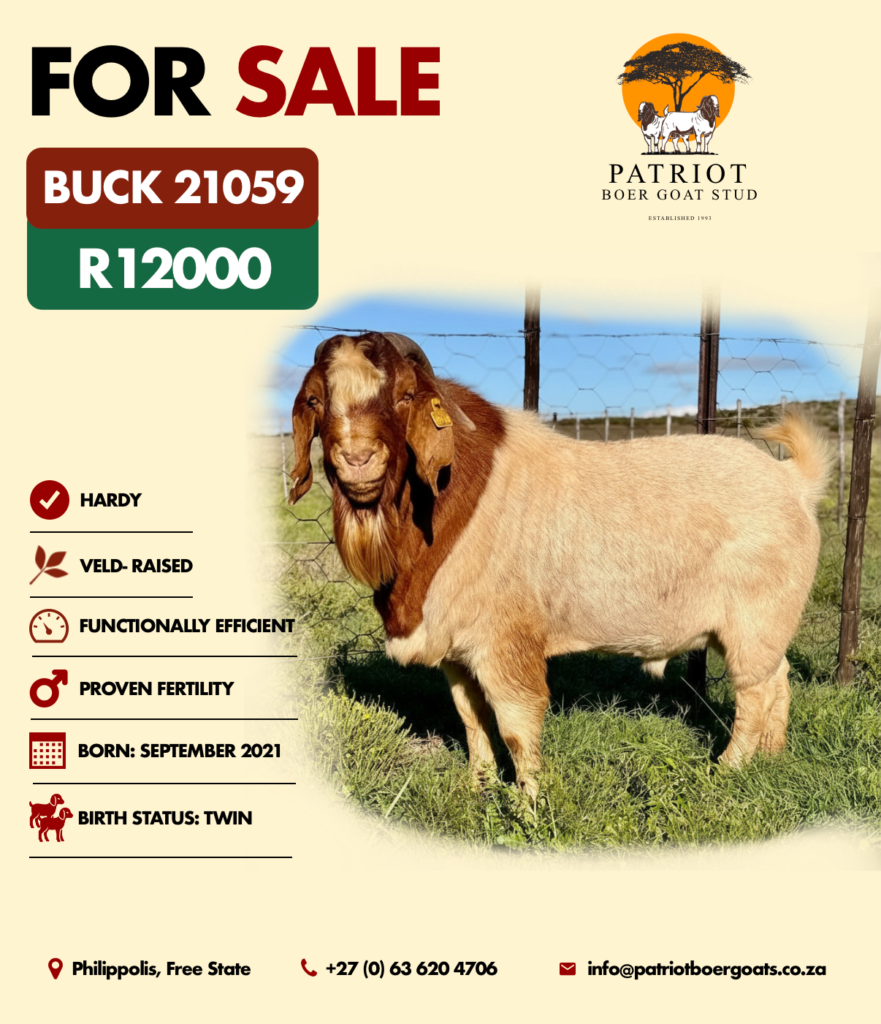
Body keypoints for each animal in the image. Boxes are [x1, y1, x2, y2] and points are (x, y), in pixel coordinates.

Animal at [289, 332, 831, 799]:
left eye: (405, 395)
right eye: (315, 400)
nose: (357, 458)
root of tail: (794, 481)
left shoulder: (505, 640)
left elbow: (516, 724)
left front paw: (530, 801)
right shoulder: (456, 649)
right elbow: (471, 718)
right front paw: (478, 786)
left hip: (754, 621)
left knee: (755, 692)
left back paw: (729, 769)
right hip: (759, 628)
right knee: (778, 679)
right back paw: (773, 756)